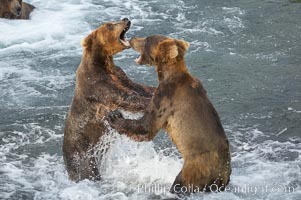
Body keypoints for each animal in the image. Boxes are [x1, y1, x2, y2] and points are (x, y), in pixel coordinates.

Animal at [62, 18, 154, 181]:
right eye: (110, 25)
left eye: (113, 22)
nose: (125, 19)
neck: (103, 62)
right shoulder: (97, 84)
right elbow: (125, 97)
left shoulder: (119, 75)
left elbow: (138, 88)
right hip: (82, 154)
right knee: (88, 171)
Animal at [108, 34, 230, 194]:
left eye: (146, 39)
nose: (133, 38)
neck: (167, 74)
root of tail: (224, 174)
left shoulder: (166, 98)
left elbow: (147, 126)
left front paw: (114, 116)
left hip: (195, 168)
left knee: (180, 183)